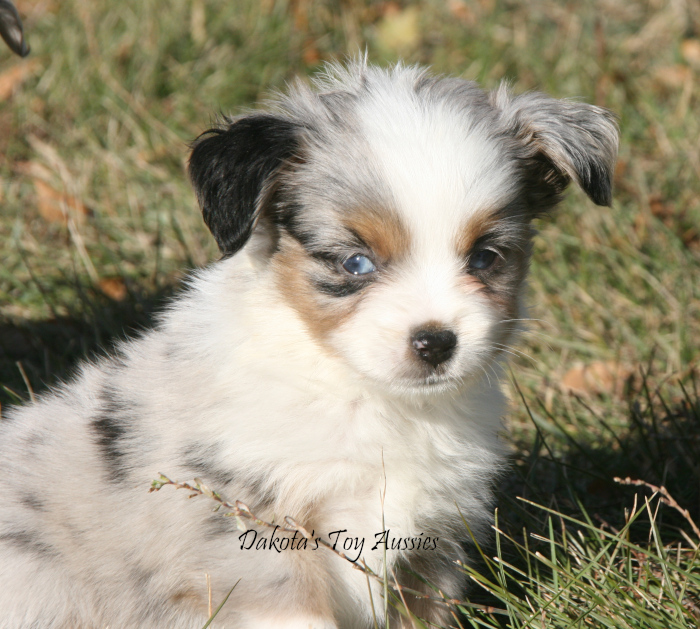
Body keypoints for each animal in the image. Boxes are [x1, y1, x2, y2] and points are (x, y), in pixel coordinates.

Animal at [0, 60, 616, 628]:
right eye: (355, 263)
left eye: (485, 257)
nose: (437, 343)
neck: (361, 397)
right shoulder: (250, 536)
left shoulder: (428, 548)